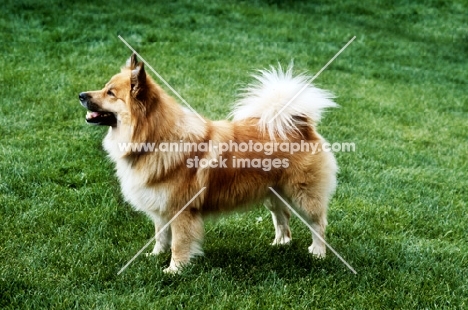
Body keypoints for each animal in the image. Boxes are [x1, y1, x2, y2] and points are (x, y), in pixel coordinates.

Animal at [78, 54, 338, 272]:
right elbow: (160, 236)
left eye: (111, 93)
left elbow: (179, 243)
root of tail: (300, 126)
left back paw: (318, 253)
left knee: (318, 224)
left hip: (304, 196)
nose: (81, 95)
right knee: (283, 216)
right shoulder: (161, 207)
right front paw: (154, 256)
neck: (154, 138)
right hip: (273, 193)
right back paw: (280, 244)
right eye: (105, 88)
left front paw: (174, 270)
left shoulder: (181, 210)